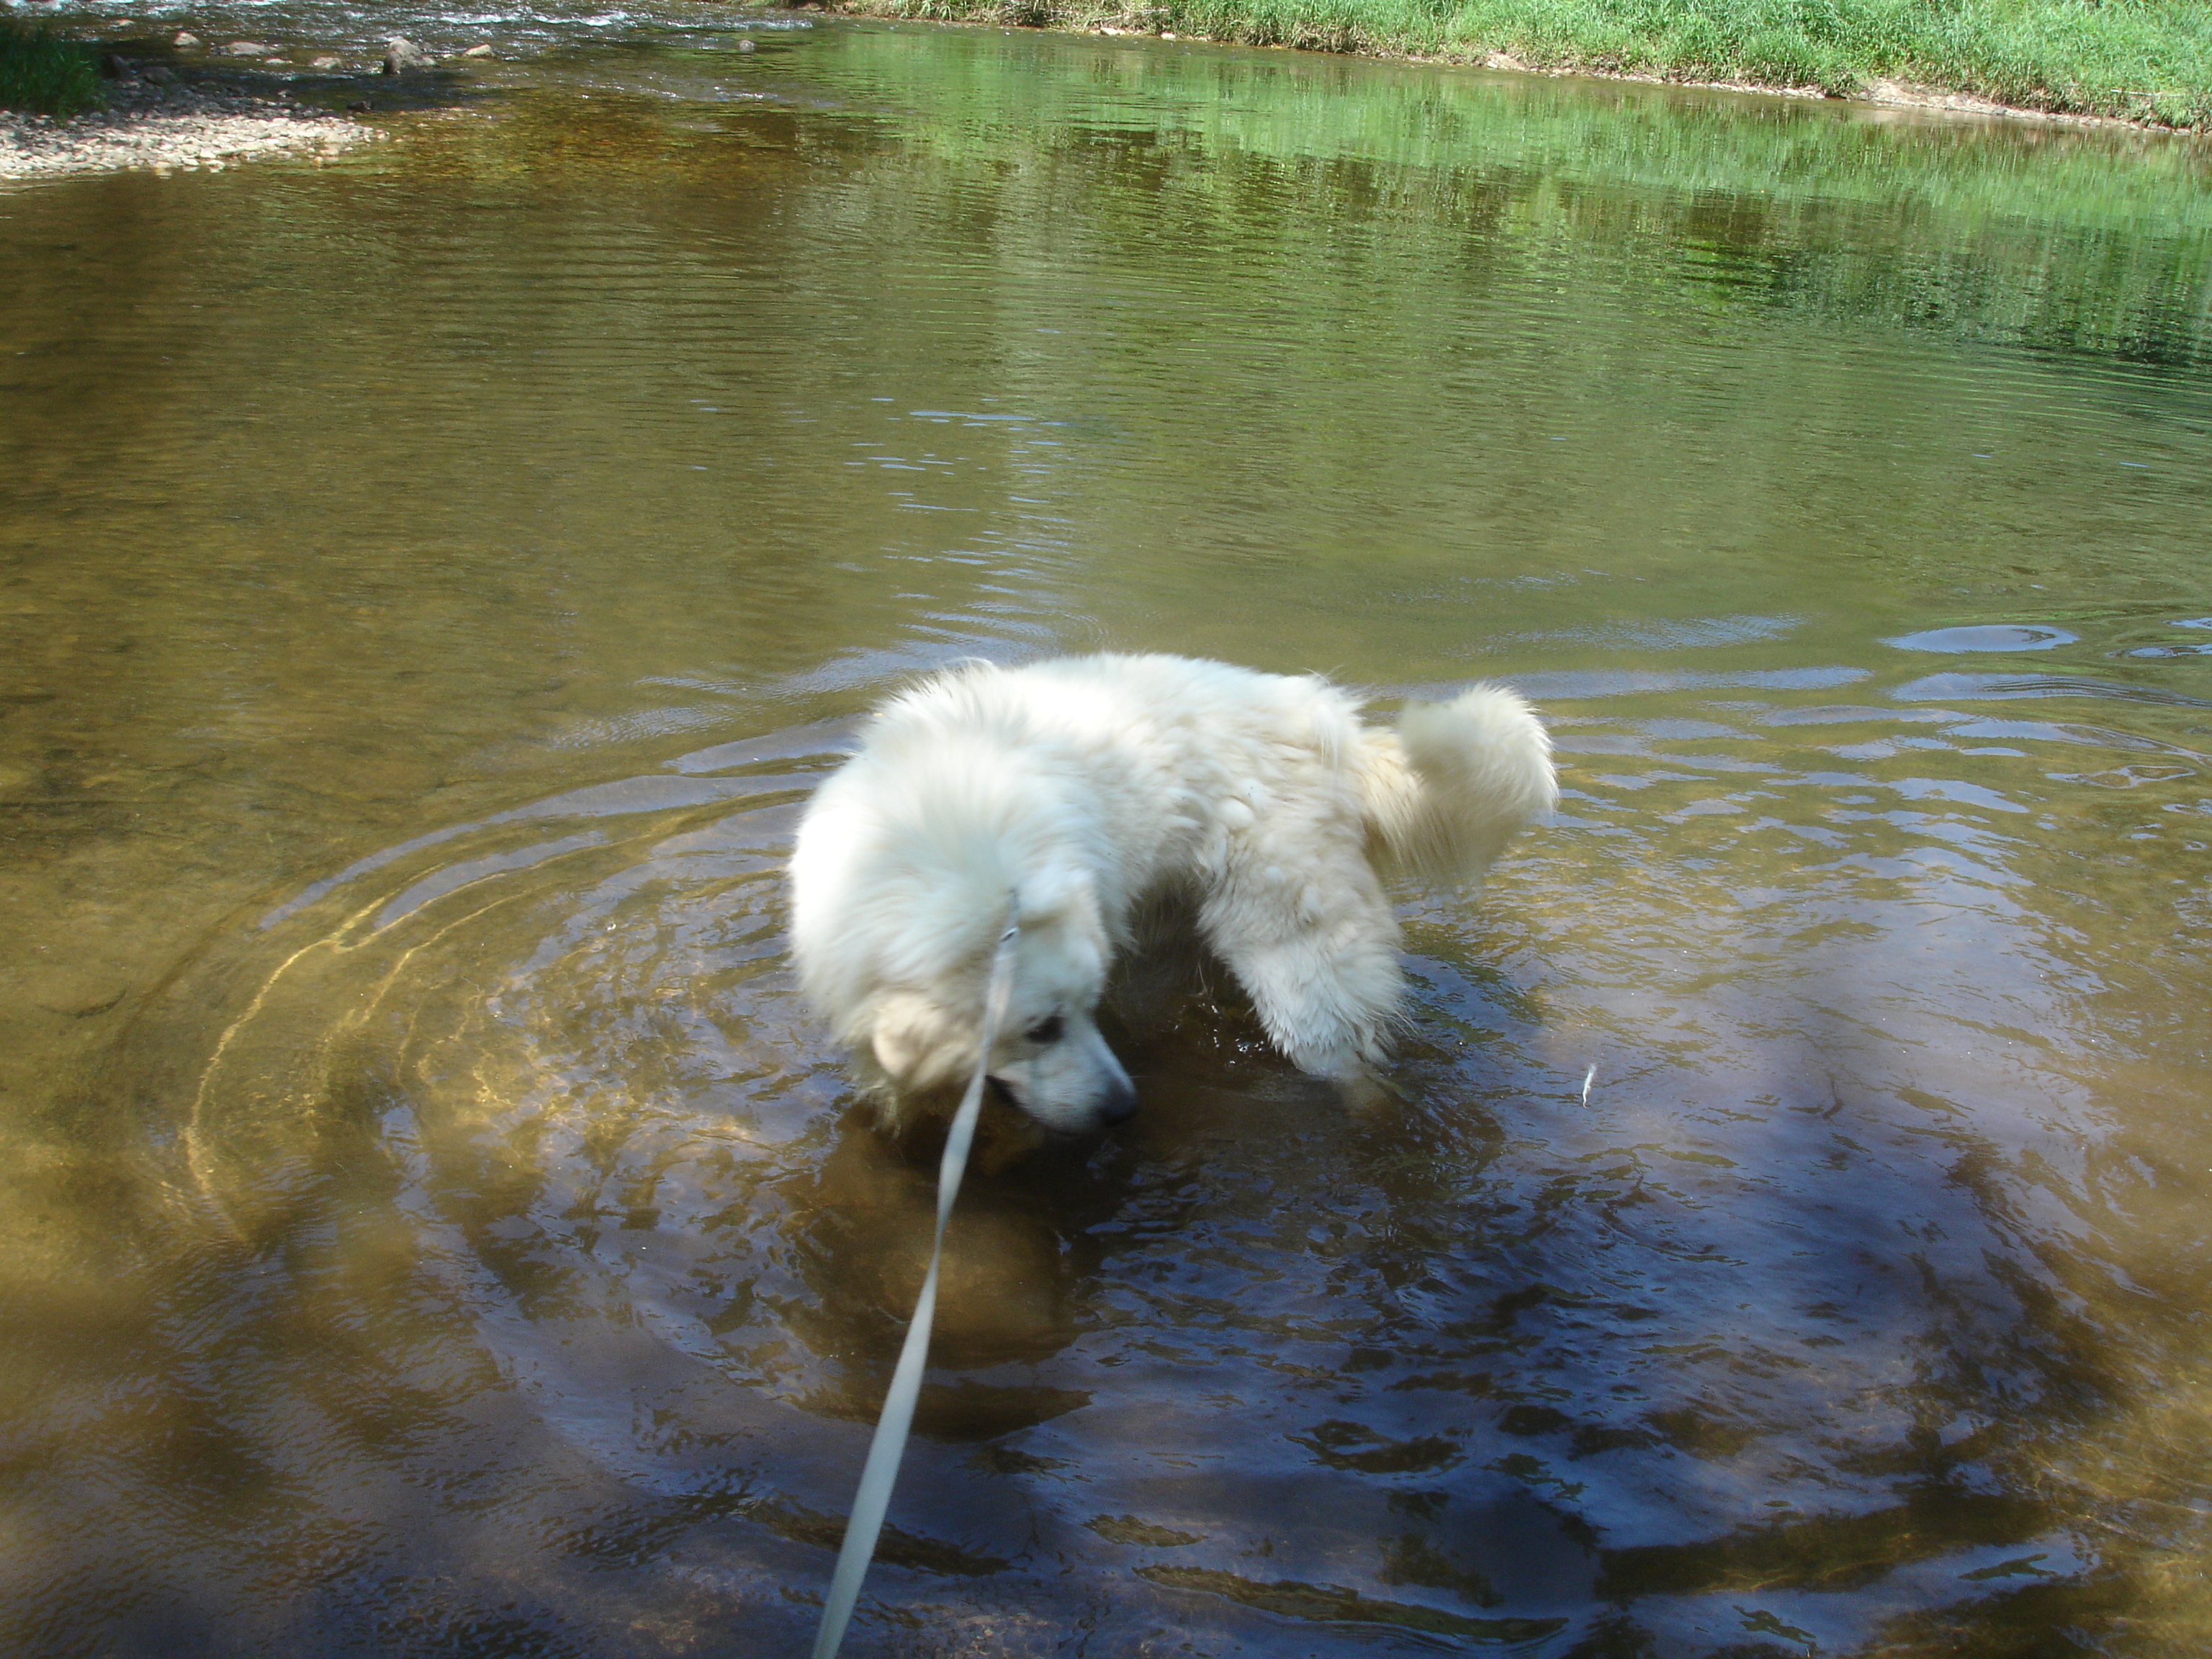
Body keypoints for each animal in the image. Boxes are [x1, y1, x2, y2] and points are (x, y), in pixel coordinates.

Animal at [787, 654, 1556, 1136]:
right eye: (1041, 1028)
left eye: (1069, 1016)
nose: (1125, 1110)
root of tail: (1339, 738)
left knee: (1351, 1065)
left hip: (1298, 973)